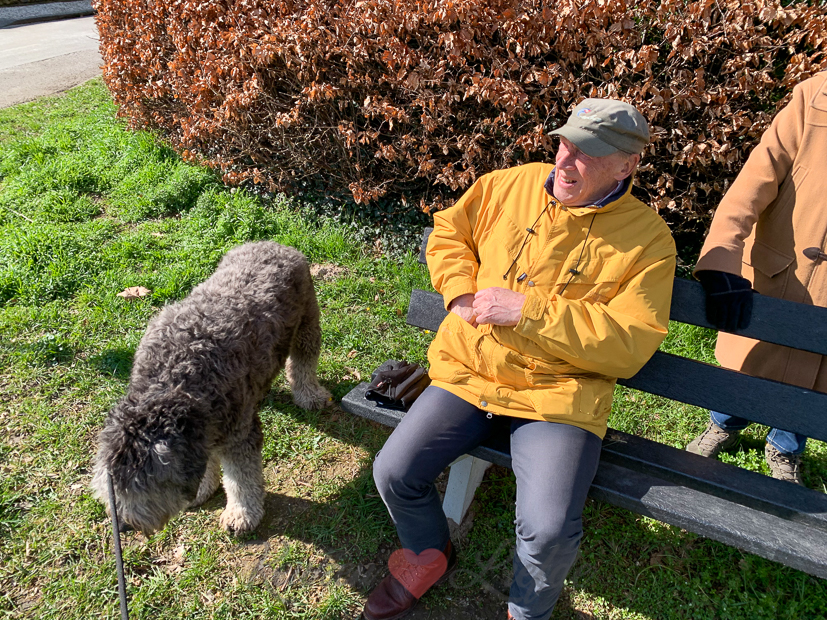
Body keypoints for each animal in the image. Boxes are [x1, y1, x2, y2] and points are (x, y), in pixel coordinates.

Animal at [91, 241, 331, 535]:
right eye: (113, 490)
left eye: (143, 489)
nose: (124, 526)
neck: (173, 383)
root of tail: (272, 243)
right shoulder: (204, 431)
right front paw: (204, 488)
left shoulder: (239, 435)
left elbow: (241, 480)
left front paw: (241, 514)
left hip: (307, 322)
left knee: (304, 361)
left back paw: (309, 394)